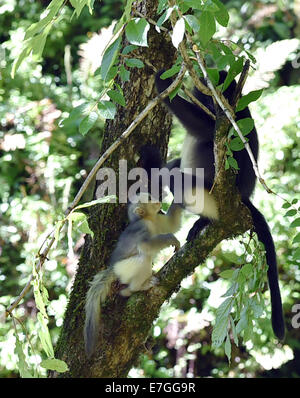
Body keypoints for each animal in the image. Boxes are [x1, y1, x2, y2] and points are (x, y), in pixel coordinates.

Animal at [84, 193, 183, 358]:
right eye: (148, 198)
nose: (157, 199)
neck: (148, 219)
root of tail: (112, 268)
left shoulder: (157, 220)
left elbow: (172, 224)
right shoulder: (143, 227)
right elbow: (145, 245)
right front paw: (171, 238)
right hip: (124, 269)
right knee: (144, 257)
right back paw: (137, 287)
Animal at [146, 70, 284, 340]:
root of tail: (243, 199)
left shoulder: (226, 121)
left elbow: (200, 122)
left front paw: (161, 79)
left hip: (209, 195)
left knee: (176, 175)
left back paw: (202, 220)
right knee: (173, 166)